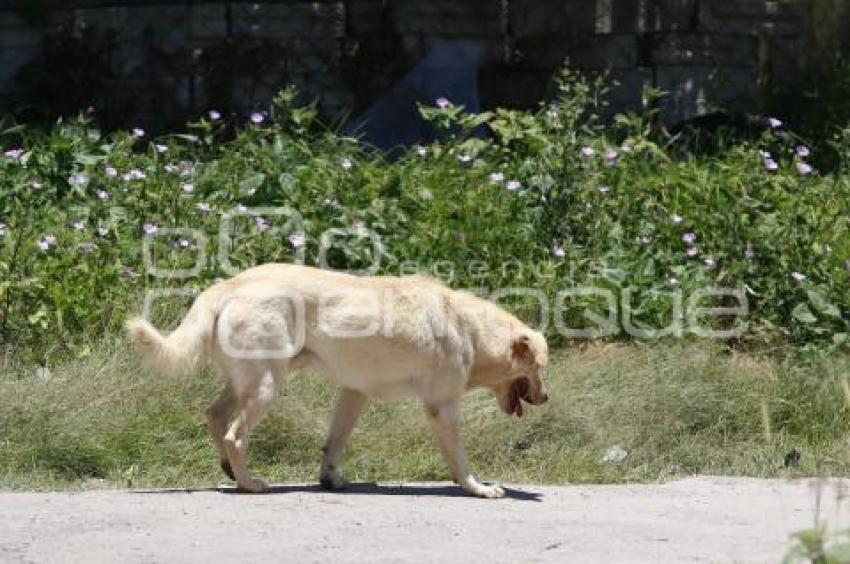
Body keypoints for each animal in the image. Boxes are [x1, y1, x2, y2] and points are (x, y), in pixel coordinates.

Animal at [126, 264, 548, 498]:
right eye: (540, 370)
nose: (546, 398)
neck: (472, 330)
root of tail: (226, 286)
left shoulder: (354, 393)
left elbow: (334, 444)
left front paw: (330, 479)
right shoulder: (441, 408)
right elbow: (460, 460)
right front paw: (478, 489)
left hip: (250, 382)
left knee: (214, 417)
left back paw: (229, 469)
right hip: (266, 387)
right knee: (234, 434)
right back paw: (249, 483)